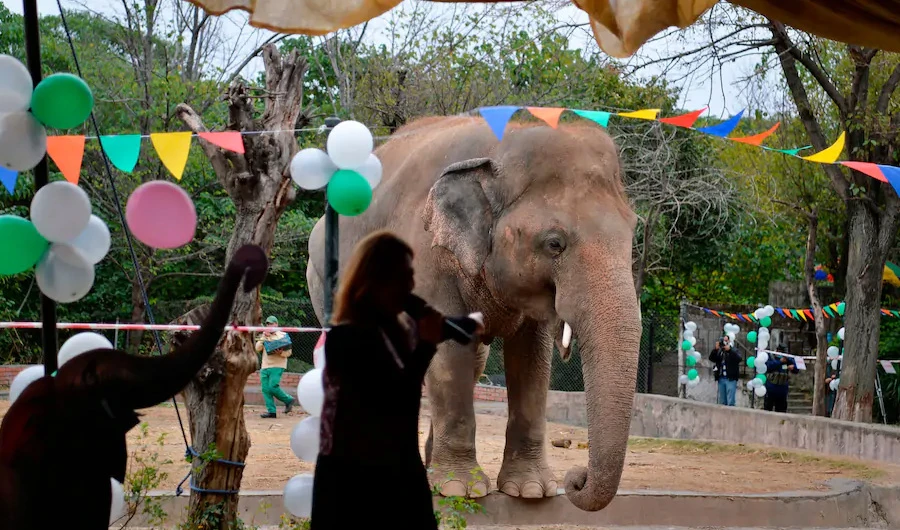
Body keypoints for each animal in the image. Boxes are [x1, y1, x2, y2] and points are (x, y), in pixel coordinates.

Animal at [306, 116, 641, 512]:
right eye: (554, 244)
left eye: (633, 232)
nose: (576, 478)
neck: (501, 144)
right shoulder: (426, 255)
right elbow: (449, 354)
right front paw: (459, 490)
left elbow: (531, 359)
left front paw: (531, 490)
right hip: (321, 280)